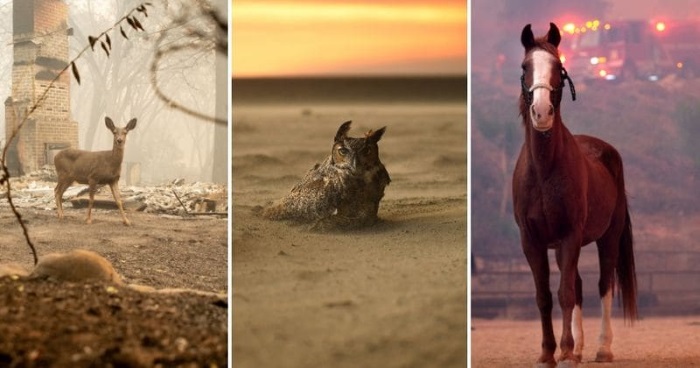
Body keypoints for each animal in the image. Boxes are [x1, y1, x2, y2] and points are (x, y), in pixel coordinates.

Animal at [512, 23, 636, 368]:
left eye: (559, 67)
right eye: (525, 67)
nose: (541, 112)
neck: (544, 171)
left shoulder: (570, 235)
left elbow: (565, 293)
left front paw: (565, 353)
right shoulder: (533, 241)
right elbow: (545, 296)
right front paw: (547, 354)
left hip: (608, 237)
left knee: (604, 285)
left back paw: (601, 348)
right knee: (579, 286)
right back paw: (580, 348)